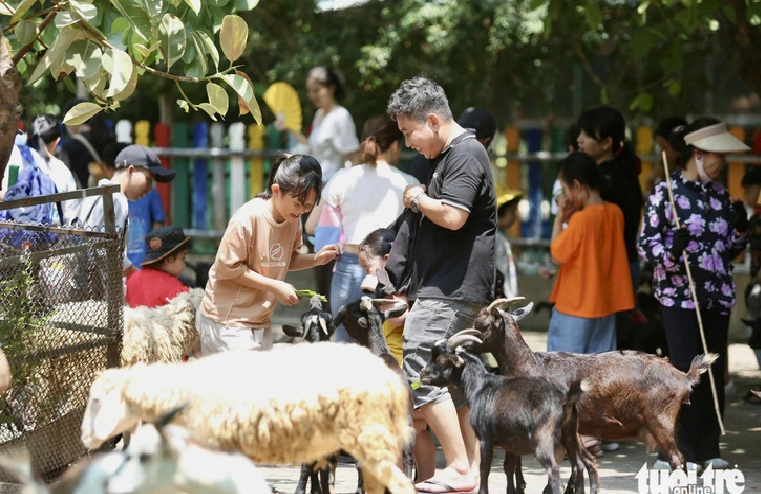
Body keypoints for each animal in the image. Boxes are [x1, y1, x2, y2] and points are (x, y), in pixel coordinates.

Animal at [418, 332, 596, 494]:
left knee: (554, 470)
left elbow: (485, 468)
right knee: (578, 466)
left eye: (441, 360)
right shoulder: (510, 441)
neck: (480, 387)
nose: (422, 374)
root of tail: (567, 396)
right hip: (569, 431)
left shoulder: (486, 436)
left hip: (542, 436)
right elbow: (509, 467)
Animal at [472, 298, 716, 470]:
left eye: (479, 324)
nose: (462, 340)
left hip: (660, 419)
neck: (532, 365)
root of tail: (684, 377)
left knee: (677, 459)